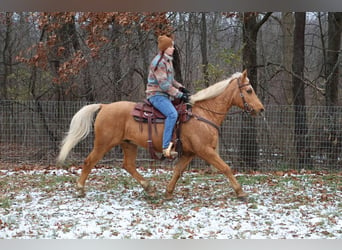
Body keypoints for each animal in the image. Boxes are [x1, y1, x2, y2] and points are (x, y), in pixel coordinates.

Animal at [57, 70, 264, 199]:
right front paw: (240, 192)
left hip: (129, 144)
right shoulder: (205, 150)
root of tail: (105, 106)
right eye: (249, 90)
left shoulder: (190, 153)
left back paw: (149, 188)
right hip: (103, 144)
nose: (260, 109)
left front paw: (168, 192)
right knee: (89, 162)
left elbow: (178, 171)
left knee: (128, 165)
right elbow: (225, 168)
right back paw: (80, 189)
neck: (203, 114)